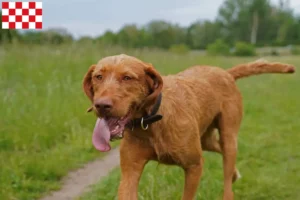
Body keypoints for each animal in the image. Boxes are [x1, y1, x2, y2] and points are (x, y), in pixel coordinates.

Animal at [82, 54, 296, 199]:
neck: (151, 121)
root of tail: (225, 72)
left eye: (127, 77)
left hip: (228, 137)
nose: (101, 105)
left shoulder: (194, 166)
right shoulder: (130, 171)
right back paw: (236, 173)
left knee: (227, 175)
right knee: (219, 149)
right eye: (98, 77)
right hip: (206, 139)